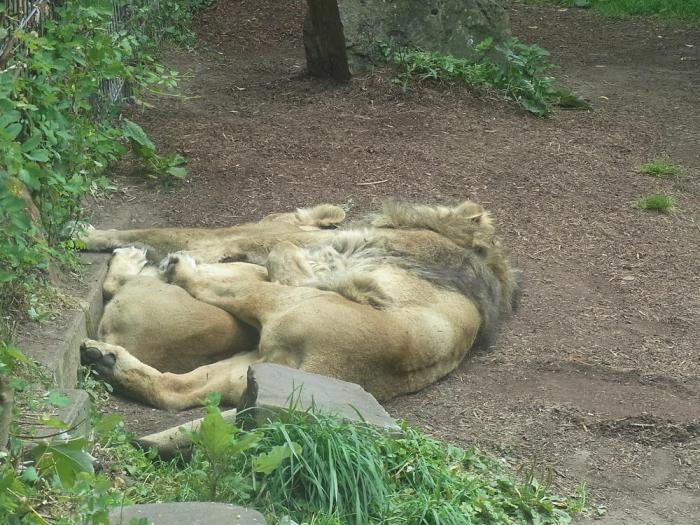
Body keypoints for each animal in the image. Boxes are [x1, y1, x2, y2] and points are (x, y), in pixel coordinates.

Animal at [81, 200, 521, 411]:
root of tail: (324, 374)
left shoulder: (264, 237)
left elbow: (163, 232)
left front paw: (85, 232)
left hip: (292, 302)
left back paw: (171, 268)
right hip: (247, 370)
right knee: (174, 390)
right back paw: (104, 359)